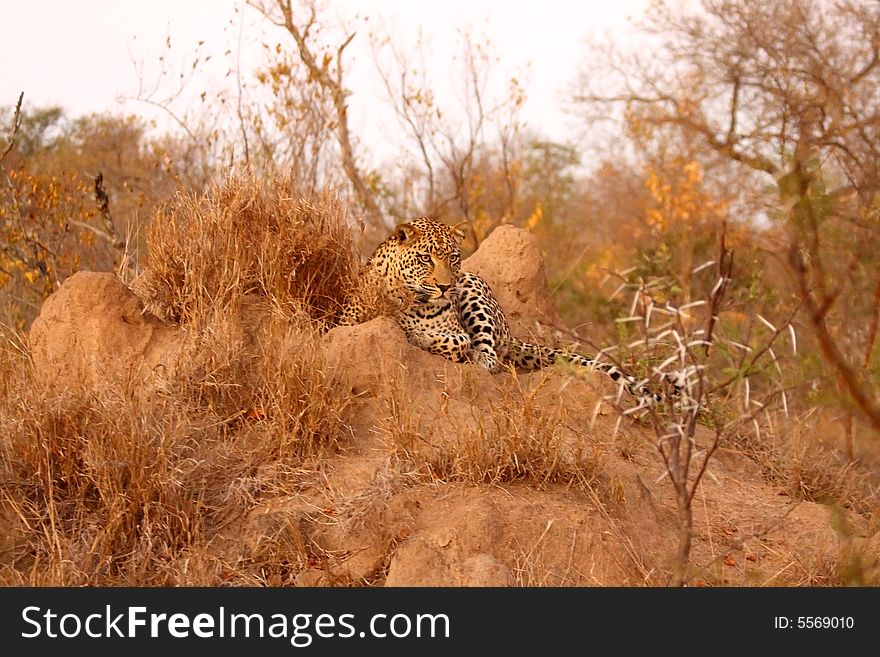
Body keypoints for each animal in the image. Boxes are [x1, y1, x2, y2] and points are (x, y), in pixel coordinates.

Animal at [338, 218, 680, 408]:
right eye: (425, 258)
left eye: (452, 258)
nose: (445, 287)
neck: (417, 300)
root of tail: (509, 331)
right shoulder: (344, 323)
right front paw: (409, 329)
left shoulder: (455, 326)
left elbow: (457, 340)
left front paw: (418, 336)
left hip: (473, 288)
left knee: (490, 357)